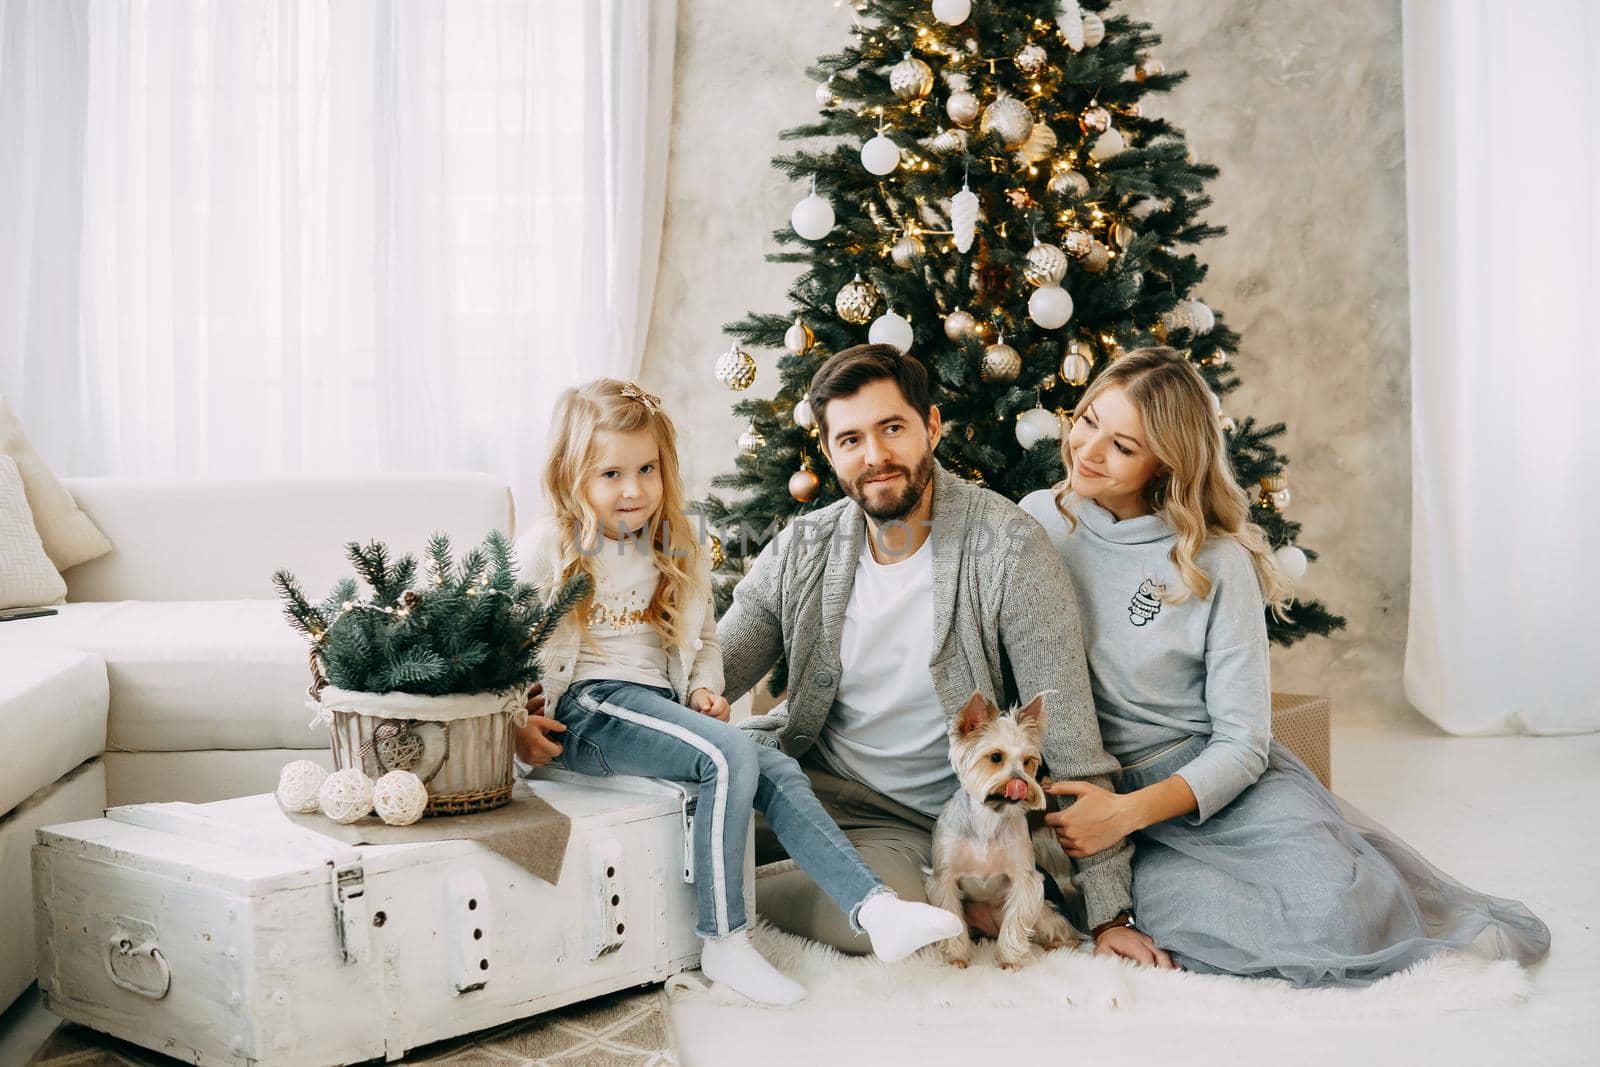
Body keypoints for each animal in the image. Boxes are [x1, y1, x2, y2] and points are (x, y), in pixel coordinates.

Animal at [928, 694, 1075, 966]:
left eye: (1028, 761)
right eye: (996, 757)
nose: (1021, 784)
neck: (988, 818)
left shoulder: (1024, 880)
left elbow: (1016, 920)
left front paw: (1009, 960)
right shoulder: (944, 878)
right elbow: (951, 916)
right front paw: (956, 958)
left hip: (1043, 911)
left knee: (1057, 927)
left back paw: (1058, 945)